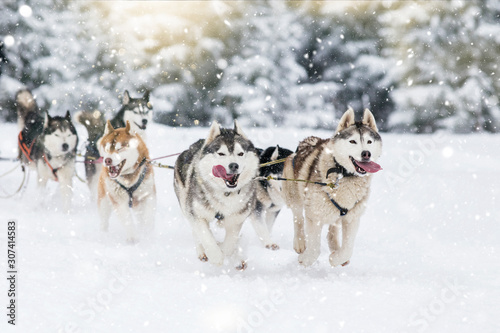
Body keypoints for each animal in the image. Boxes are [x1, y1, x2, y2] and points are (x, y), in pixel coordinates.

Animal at [174, 120, 260, 268]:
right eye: (221, 154)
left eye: (240, 153)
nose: (234, 165)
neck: (226, 193)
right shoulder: (197, 214)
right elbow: (206, 236)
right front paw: (215, 255)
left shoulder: (237, 219)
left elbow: (230, 244)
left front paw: (224, 249)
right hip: (186, 204)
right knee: (195, 232)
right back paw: (202, 252)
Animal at [284, 107, 384, 266]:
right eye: (352, 141)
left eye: (369, 141)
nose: (366, 154)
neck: (344, 174)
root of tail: (308, 141)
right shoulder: (314, 216)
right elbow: (314, 249)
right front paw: (305, 259)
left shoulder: (352, 218)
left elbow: (348, 249)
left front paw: (336, 258)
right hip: (295, 195)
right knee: (298, 217)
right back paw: (300, 243)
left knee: (333, 228)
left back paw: (335, 247)